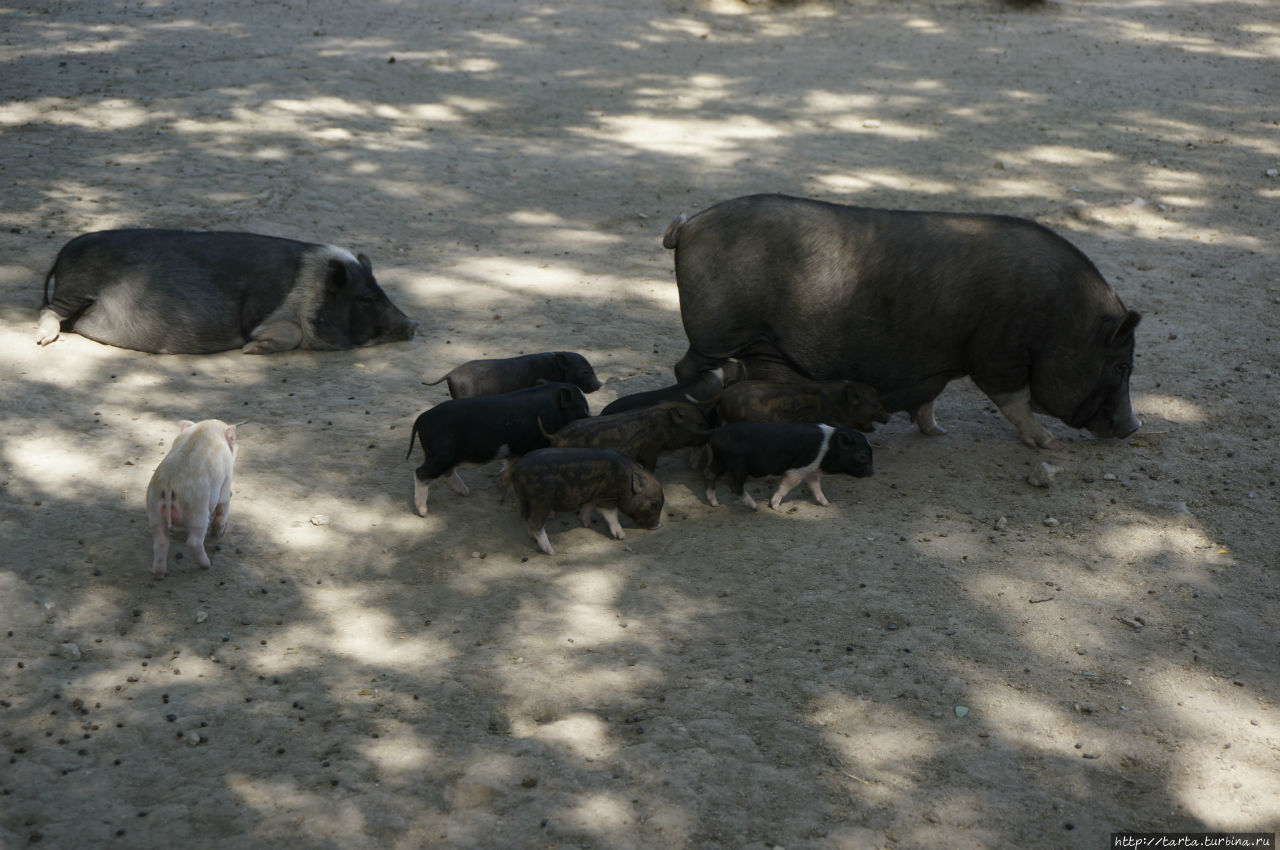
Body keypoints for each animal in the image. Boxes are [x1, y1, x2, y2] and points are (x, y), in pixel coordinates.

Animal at [35, 227, 417, 353]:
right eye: (365, 297)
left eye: (381, 290)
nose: (413, 324)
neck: (312, 291)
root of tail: (64, 250)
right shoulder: (266, 313)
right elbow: (284, 333)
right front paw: (251, 349)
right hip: (78, 287)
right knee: (49, 310)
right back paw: (43, 341)